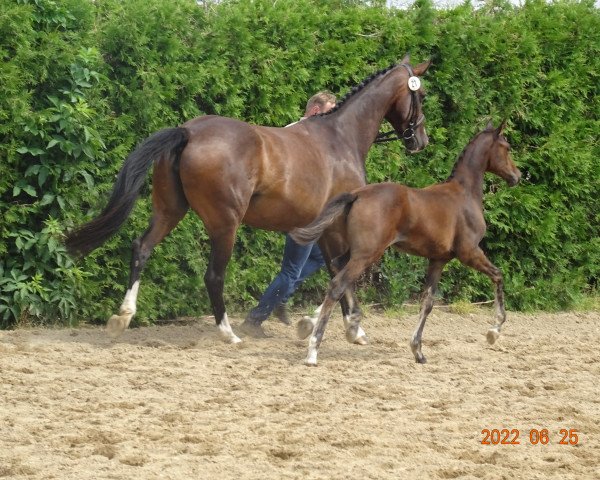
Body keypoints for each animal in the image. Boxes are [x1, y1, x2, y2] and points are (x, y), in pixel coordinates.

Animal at [290, 121, 520, 364]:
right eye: (507, 147)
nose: (517, 175)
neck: (464, 194)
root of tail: (357, 195)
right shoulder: (469, 252)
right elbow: (498, 275)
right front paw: (494, 332)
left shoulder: (438, 259)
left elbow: (427, 303)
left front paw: (418, 351)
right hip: (368, 254)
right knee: (337, 285)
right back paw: (314, 350)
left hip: (358, 251)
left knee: (335, 266)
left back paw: (337, 325)